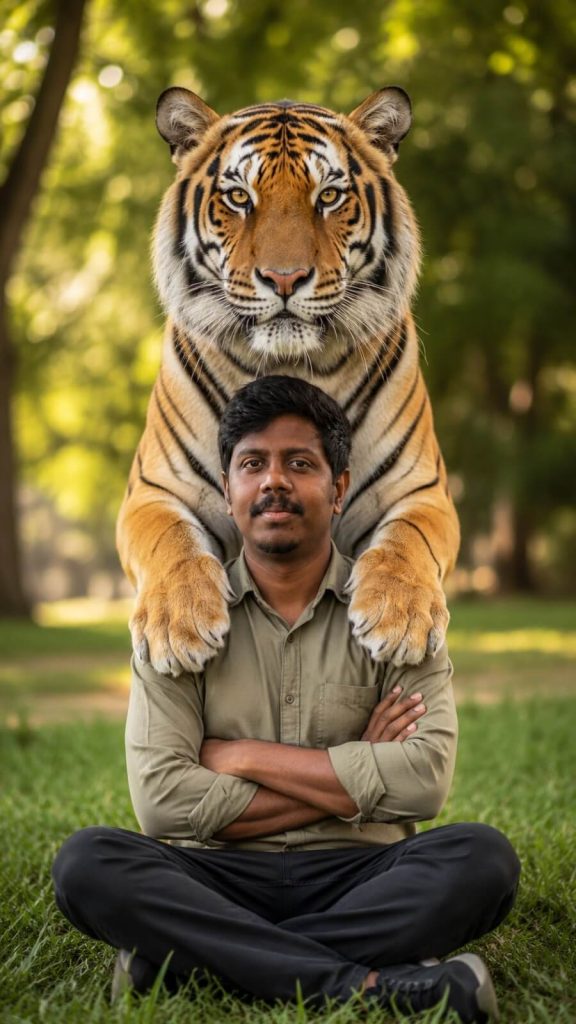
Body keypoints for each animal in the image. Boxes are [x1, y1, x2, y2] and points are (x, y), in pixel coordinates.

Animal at [116, 85, 460, 677]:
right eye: (238, 197)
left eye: (329, 196)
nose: (284, 278)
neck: (291, 366)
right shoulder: (154, 489)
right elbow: (170, 539)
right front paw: (178, 624)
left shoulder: (422, 489)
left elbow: (408, 540)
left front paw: (399, 618)